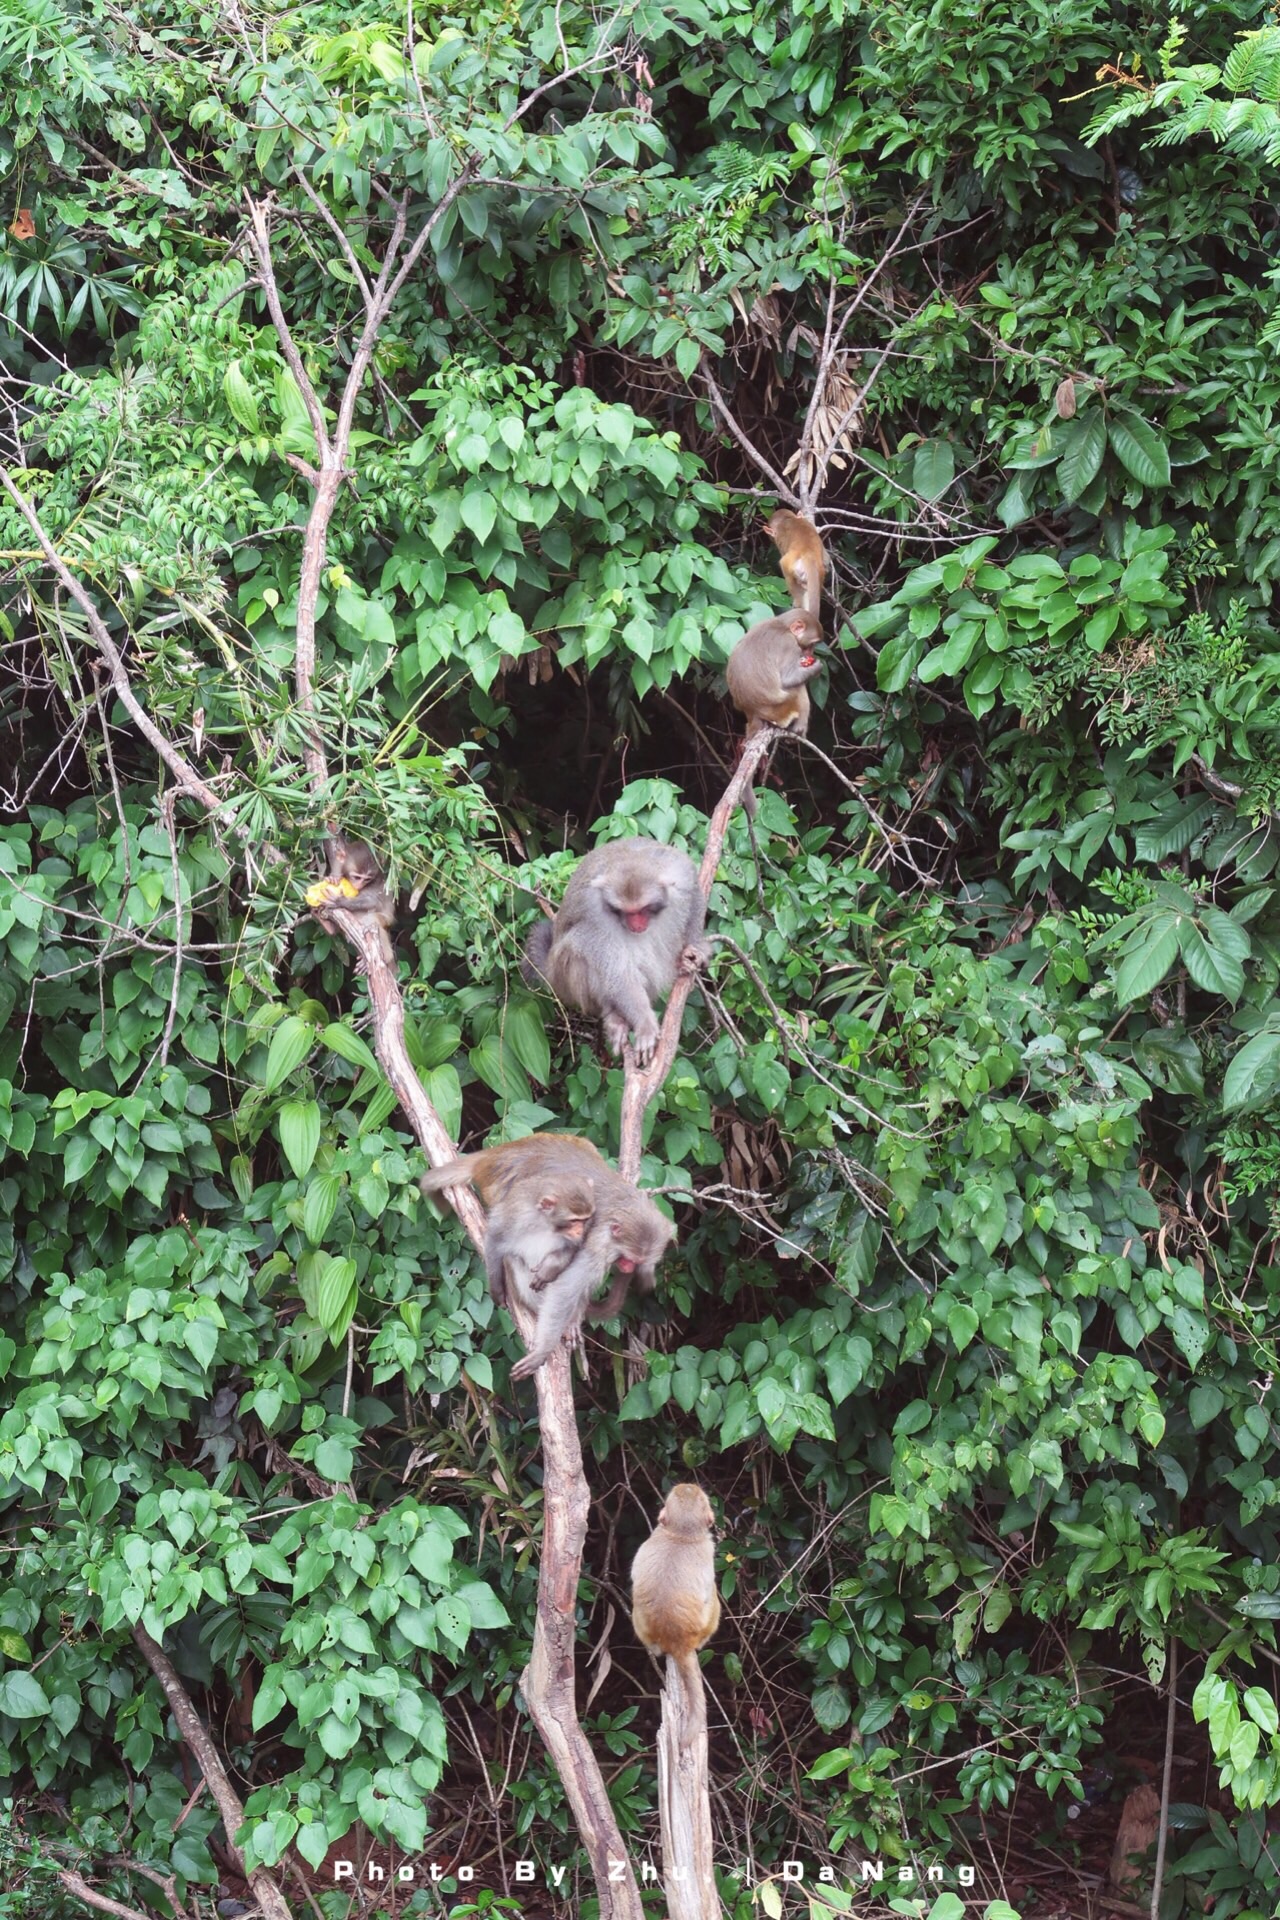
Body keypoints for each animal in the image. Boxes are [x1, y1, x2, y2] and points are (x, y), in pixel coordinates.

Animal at [305, 837, 395, 967]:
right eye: (357, 877)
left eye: (367, 879)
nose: (359, 885)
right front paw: (333, 878)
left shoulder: (375, 882)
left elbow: (372, 901)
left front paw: (339, 901)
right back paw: (327, 925)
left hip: (385, 921)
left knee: (371, 919)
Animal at [629, 1482, 721, 1728]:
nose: (687, 1485)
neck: (680, 1535)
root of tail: (677, 1640)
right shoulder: (708, 1553)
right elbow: (709, 1592)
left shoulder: (650, 1539)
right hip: (703, 1628)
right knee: (714, 1602)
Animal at [725, 614, 825, 817]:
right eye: (810, 644)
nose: (809, 653)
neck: (782, 625)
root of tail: (752, 713)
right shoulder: (789, 645)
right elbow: (788, 678)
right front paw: (816, 667)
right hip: (781, 708)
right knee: (797, 688)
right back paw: (799, 729)